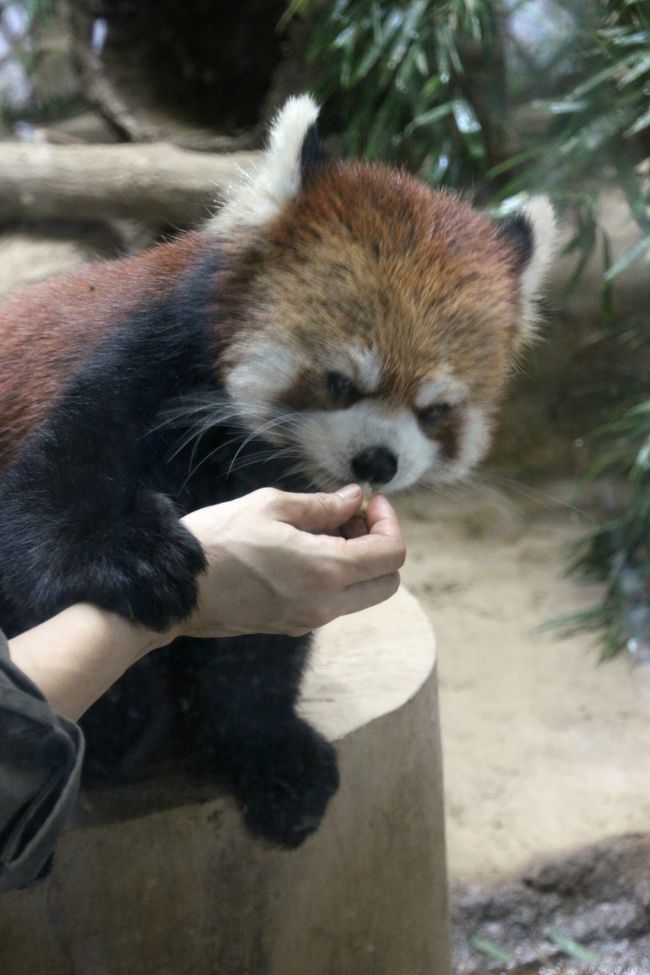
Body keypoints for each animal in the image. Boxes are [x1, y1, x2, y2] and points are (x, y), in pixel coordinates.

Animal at [0, 93, 556, 848]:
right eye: (341, 382)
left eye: (434, 409)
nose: (377, 460)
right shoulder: (130, 361)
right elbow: (48, 499)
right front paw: (130, 556)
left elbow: (256, 653)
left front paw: (269, 751)